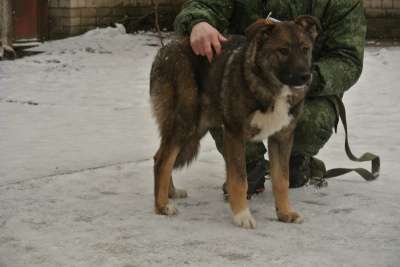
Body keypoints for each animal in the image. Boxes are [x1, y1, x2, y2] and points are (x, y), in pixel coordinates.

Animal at [148, 15, 320, 229]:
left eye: (305, 49)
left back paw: (170, 193)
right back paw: (162, 205)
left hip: (196, 127)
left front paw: (285, 213)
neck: (268, 84)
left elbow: (282, 181)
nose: (306, 76)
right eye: (283, 51)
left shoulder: (282, 138)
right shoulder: (234, 134)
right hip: (185, 123)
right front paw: (241, 215)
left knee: (161, 156)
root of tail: (164, 51)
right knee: (162, 161)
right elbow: (239, 180)